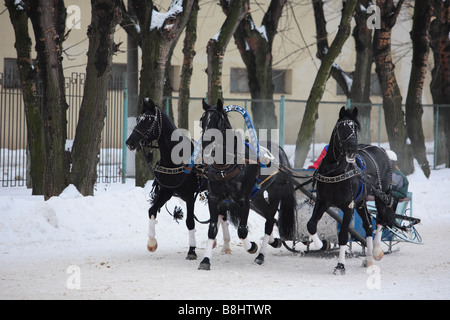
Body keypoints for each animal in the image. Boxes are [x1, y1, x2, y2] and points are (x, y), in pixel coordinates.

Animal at [126, 99, 232, 262]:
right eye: (138, 119)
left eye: (148, 121)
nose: (130, 143)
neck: (175, 159)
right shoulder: (166, 191)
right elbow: (152, 210)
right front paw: (151, 243)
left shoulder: (189, 196)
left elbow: (189, 221)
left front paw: (192, 250)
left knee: (222, 213)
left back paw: (225, 245)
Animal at [306, 107, 398, 276]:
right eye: (341, 127)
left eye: (355, 128)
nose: (352, 150)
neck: (335, 171)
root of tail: (380, 149)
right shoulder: (322, 202)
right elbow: (311, 224)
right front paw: (321, 244)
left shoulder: (348, 206)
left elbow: (343, 235)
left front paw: (340, 265)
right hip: (361, 202)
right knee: (368, 226)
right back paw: (368, 259)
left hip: (381, 196)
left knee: (381, 219)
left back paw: (376, 251)